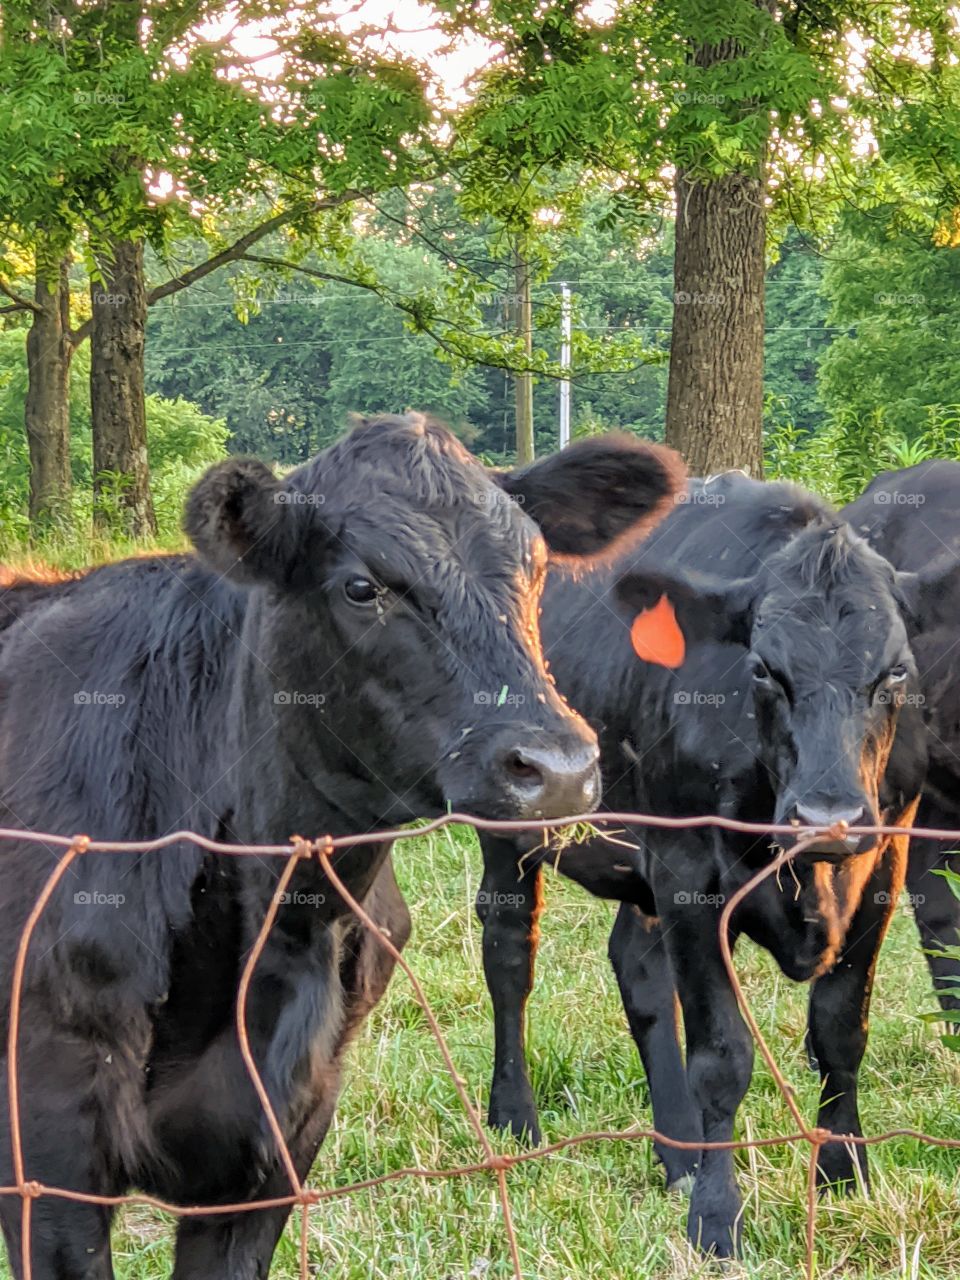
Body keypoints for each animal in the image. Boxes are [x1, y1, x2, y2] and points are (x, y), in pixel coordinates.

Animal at [475, 470, 956, 1257]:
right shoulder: (689, 872)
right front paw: (716, 1218)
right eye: (763, 669)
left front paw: (843, 1174)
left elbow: (841, 1030)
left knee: (636, 966)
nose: (827, 815)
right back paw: (516, 1118)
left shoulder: (884, 858)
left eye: (896, 673)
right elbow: (722, 1056)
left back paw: (675, 1152)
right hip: (511, 818)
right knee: (509, 953)